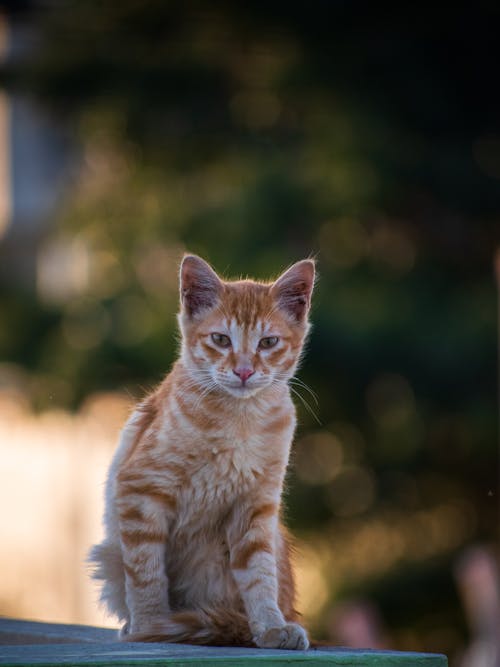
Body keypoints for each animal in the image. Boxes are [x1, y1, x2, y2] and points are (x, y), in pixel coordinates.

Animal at [88, 253, 314, 648]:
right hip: (109, 553)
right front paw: (150, 625)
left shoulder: (256, 506)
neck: (238, 420)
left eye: (268, 342)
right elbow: (146, 571)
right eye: (221, 339)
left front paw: (271, 625)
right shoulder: (140, 489)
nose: (244, 371)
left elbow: (260, 575)